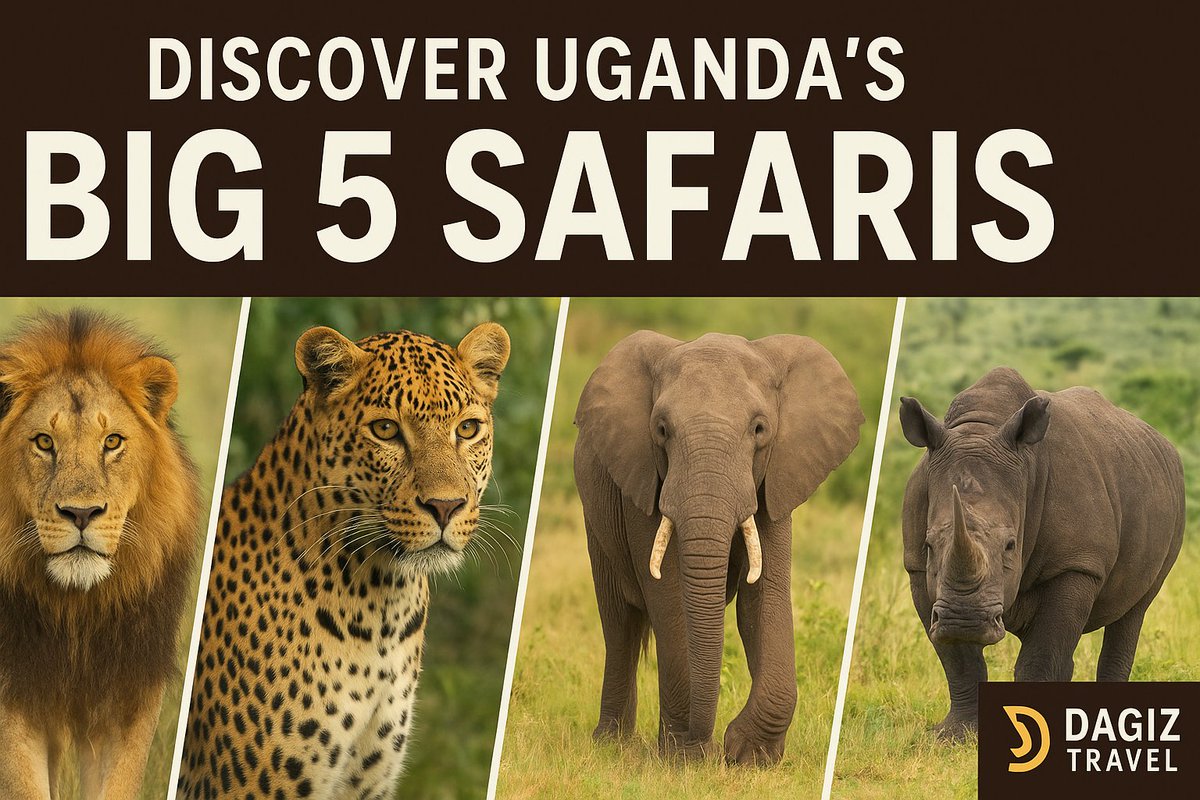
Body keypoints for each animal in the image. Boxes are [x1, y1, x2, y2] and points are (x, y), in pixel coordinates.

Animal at [0, 310, 202, 800]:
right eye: (43, 442)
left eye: (112, 442)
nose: (81, 513)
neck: (78, 611)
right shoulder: (14, 695)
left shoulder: (130, 697)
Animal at [573, 330, 864, 765]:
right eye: (661, 430)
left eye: (759, 429)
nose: (711, 746)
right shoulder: (642, 483)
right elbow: (669, 597)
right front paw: (686, 758)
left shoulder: (774, 480)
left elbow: (763, 598)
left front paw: (749, 755)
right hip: (596, 519)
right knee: (619, 623)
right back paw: (612, 743)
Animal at [899, 367, 1186, 740]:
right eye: (930, 545)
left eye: (1010, 545)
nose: (965, 620)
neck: (983, 427)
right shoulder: (919, 569)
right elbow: (958, 660)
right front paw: (954, 736)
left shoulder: (1075, 565)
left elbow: (1042, 655)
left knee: (1134, 611)